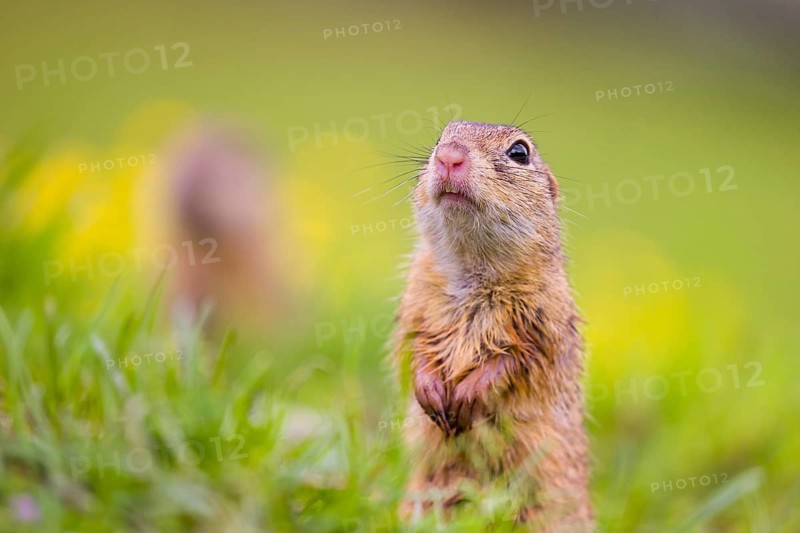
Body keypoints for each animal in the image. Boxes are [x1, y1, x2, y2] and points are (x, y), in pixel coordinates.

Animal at [392, 120, 593, 530]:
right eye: (440, 136)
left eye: (520, 152)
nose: (448, 155)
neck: (474, 271)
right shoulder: (415, 299)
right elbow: (414, 344)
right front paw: (430, 390)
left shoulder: (543, 319)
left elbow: (518, 360)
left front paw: (467, 397)